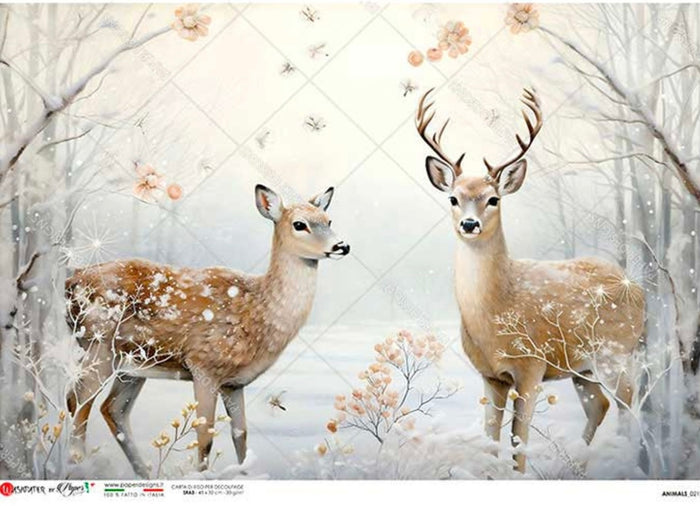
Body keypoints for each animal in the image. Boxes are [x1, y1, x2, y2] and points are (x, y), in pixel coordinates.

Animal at [64, 184, 350, 478]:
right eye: (299, 224)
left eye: (329, 221)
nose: (342, 246)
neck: (257, 311)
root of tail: (71, 281)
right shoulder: (203, 366)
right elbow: (205, 436)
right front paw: (201, 475)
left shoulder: (233, 383)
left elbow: (240, 434)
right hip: (99, 345)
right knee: (77, 400)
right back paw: (78, 464)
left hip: (133, 365)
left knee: (112, 409)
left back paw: (143, 472)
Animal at [415, 88, 645, 472]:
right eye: (453, 198)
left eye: (493, 198)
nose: (469, 224)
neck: (495, 312)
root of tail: (634, 285)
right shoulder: (491, 376)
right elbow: (491, 439)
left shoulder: (531, 368)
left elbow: (518, 443)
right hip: (582, 368)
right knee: (601, 405)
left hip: (615, 353)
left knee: (630, 404)